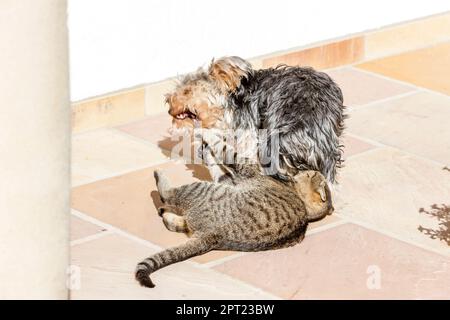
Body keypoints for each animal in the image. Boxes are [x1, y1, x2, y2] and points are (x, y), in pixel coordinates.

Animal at [135, 151, 332, 288]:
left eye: (310, 175)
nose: (304, 168)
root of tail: (212, 236)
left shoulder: (244, 172)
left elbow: (228, 153)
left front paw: (207, 139)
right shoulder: (230, 178)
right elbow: (218, 166)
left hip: (203, 189)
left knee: (169, 194)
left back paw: (159, 177)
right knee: (174, 220)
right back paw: (165, 212)